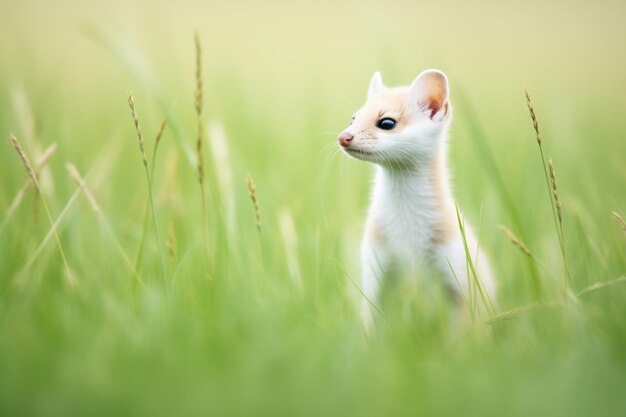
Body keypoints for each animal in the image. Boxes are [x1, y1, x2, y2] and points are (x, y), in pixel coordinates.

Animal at [338, 69, 494, 328]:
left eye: (386, 122)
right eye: (353, 118)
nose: (344, 137)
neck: (407, 232)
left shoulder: (454, 258)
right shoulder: (375, 255)